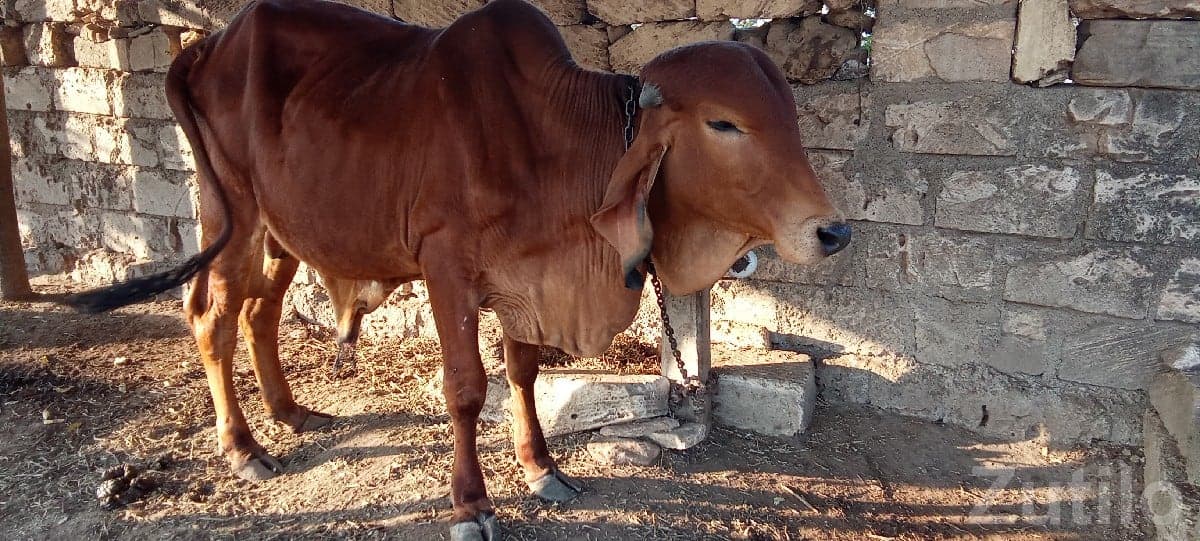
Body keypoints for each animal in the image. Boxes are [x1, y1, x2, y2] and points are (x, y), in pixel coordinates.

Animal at [63, 0, 851, 538]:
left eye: (792, 118)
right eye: (725, 123)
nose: (832, 229)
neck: (559, 140)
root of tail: (205, 44)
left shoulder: (525, 280)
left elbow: (523, 372)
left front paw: (542, 469)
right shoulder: (448, 269)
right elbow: (467, 389)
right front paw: (470, 502)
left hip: (289, 231)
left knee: (260, 313)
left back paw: (291, 412)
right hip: (230, 214)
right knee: (213, 318)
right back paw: (243, 446)